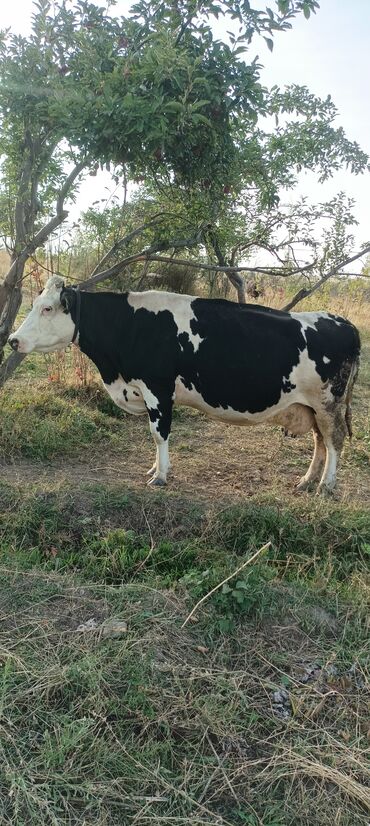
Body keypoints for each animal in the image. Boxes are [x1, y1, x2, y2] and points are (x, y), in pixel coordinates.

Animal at [8, 276, 360, 492]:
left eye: (47, 308)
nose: (12, 340)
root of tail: (342, 321)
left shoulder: (158, 389)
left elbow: (158, 433)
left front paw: (160, 476)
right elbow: (156, 436)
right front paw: (154, 469)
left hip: (329, 402)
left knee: (334, 441)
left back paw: (326, 485)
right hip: (312, 406)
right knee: (320, 441)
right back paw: (306, 481)